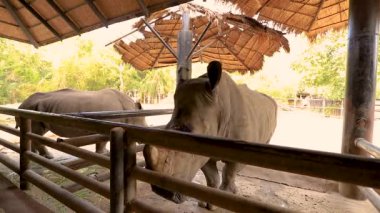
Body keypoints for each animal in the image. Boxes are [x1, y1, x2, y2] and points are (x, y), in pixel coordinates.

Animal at [18, 87, 148, 159]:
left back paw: (34, 154)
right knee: (37, 133)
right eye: (142, 125)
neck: (129, 109)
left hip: (37, 108)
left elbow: (101, 140)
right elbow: (103, 140)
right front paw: (102, 154)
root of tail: (21, 105)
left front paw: (104, 153)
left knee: (36, 132)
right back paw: (48, 157)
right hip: (32, 109)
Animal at [144, 60, 278, 210]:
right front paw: (208, 203)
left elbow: (228, 173)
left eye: (188, 130)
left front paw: (225, 199)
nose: (161, 191)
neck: (219, 105)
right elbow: (212, 177)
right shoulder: (203, 148)